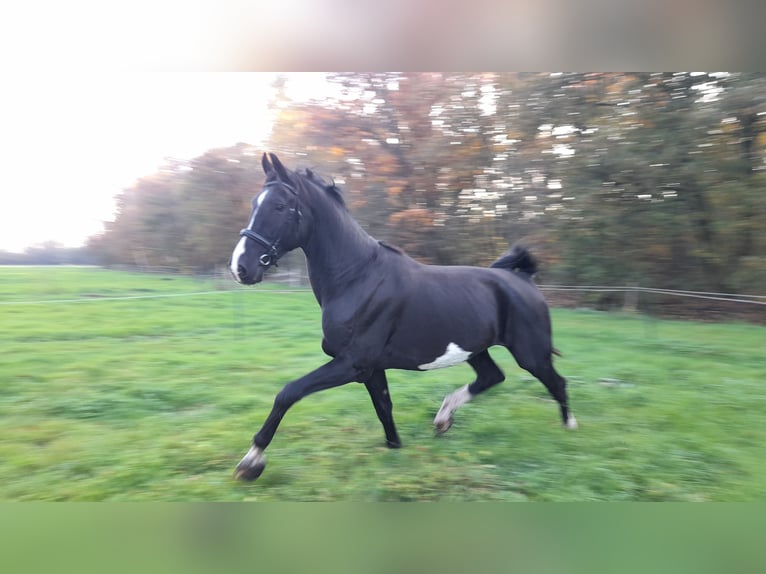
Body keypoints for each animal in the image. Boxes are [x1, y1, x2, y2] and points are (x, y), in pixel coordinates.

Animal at [231, 152, 580, 482]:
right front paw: (394, 447)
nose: (241, 267)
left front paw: (251, 462)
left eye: (279, 206)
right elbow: (384, 406)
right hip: (477, 350)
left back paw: (570, 430)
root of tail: (524, 278)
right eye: (254, 203)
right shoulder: (370, 368)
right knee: (492, 377)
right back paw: (442, 419)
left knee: (556, 382)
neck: (356, 277)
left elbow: (288, 393)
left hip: (530, 352)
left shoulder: (352, 364)